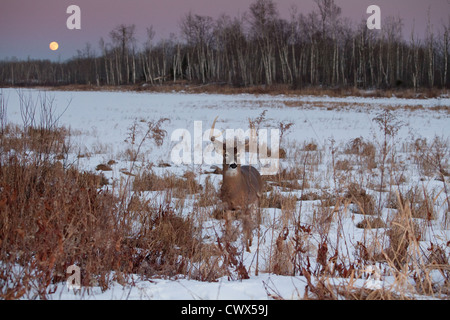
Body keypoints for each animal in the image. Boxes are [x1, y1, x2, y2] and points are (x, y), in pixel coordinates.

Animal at [210, 116, 264, 251]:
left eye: (238, 154)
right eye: (225, 154)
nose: (233, 165)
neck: (235, 193)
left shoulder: (245, 205)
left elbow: (245, 229)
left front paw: (247, 250)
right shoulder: (226, 207)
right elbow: (228, 230)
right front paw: (227, 248)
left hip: (256, 201)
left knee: (255, 221)